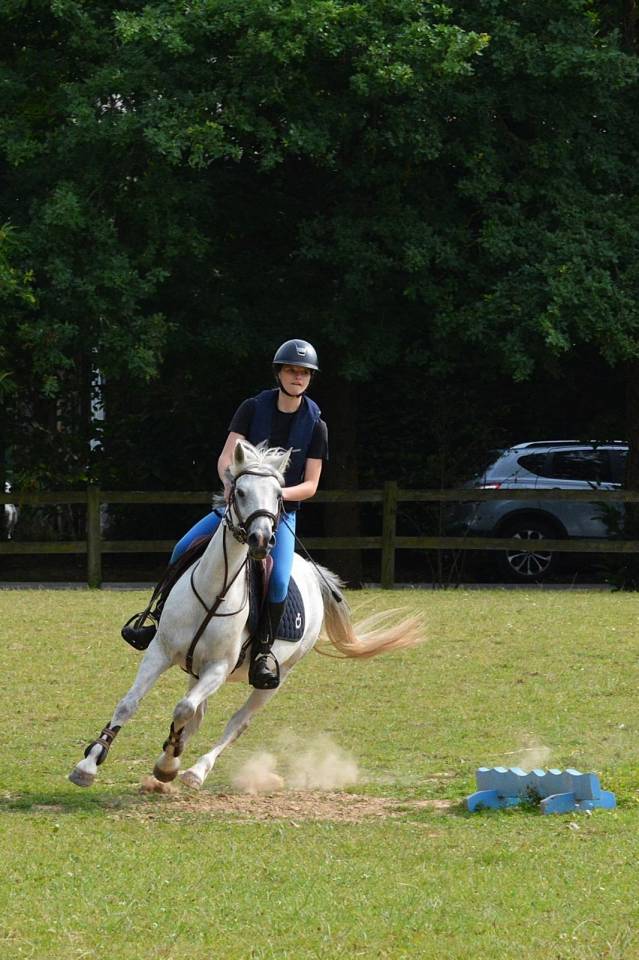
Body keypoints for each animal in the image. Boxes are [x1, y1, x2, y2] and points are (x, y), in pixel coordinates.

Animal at [69, 440, 423, 791]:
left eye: (279, 495)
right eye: (239, 492)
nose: (261, 540)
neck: (214, 592)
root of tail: (313, 572)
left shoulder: (219, 668)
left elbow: (183, 709)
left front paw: (169, 763)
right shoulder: (161, 651)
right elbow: (130, 703)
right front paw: (89, 764)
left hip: (275, 678)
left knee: (235, 722)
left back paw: (195, 771)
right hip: (195, 668)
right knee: (198, 714)